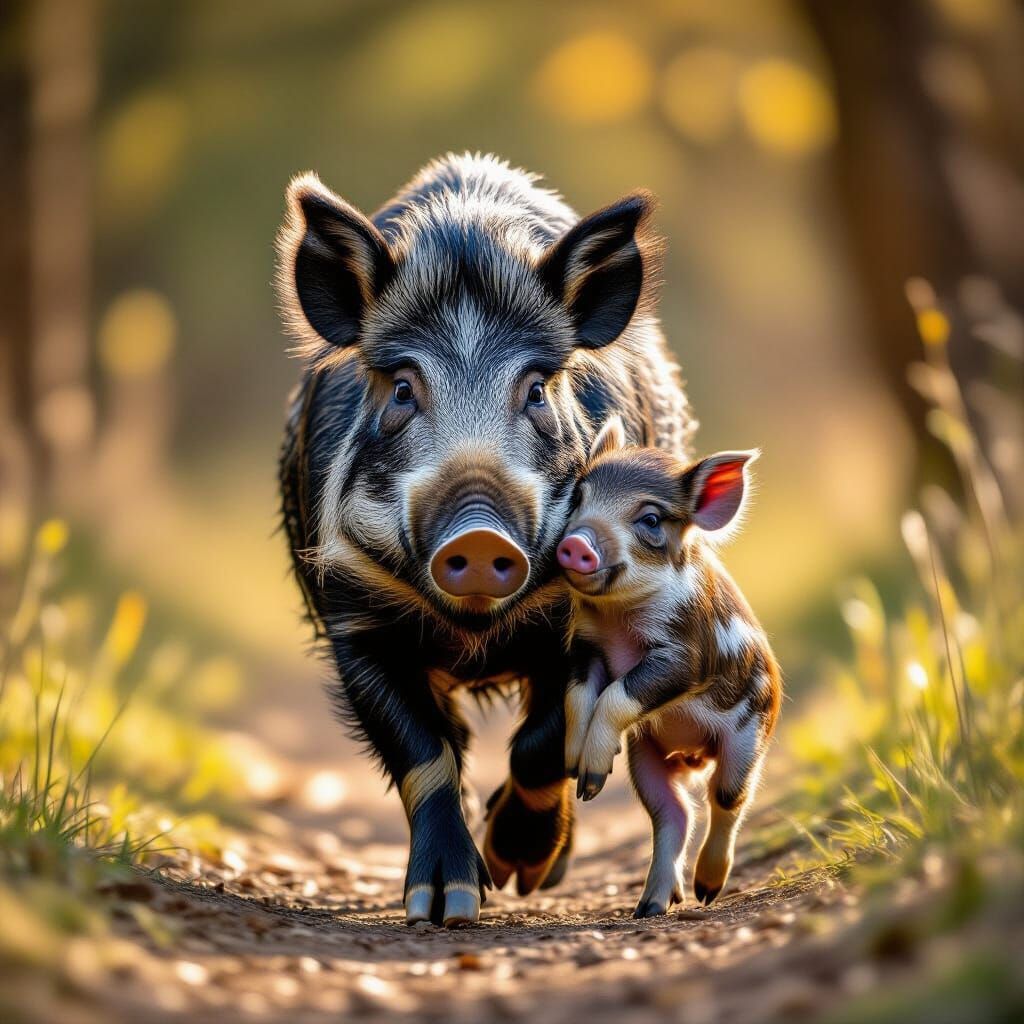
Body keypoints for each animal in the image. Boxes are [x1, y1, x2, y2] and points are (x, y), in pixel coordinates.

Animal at [276, 153, 696, 927]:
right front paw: (445, 907)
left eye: (536, 389)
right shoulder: (353, 615)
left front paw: (517, 871)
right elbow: (423, 750)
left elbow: (543, 740)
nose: (476, 537)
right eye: (401, 388)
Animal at [558, 417, 781, 917]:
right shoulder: (586, 647)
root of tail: (693, 757)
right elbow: (578, 695)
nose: (575, 543)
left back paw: (706, 891)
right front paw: (577, 775)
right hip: (647, 757)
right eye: (578, 498)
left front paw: (587, 781)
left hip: (748, 737)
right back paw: (652, 906)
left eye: (651, 519)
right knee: (673, 813)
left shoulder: (686, 654)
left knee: (726, 799)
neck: (618, 619)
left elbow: (618, 692)